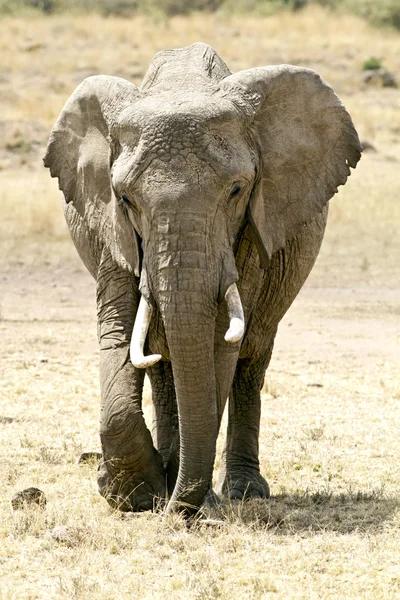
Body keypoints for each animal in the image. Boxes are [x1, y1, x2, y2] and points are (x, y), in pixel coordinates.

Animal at [43, 42, 362, 512]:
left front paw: (190, 503)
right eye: (126, 198)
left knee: (251, 359)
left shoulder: (249, 229)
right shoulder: (111, 226)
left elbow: (220, 339)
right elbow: (119, 329)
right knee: (161, 365)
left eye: (236, 190)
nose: (177, 507)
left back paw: (242, 491)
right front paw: (132, 494)